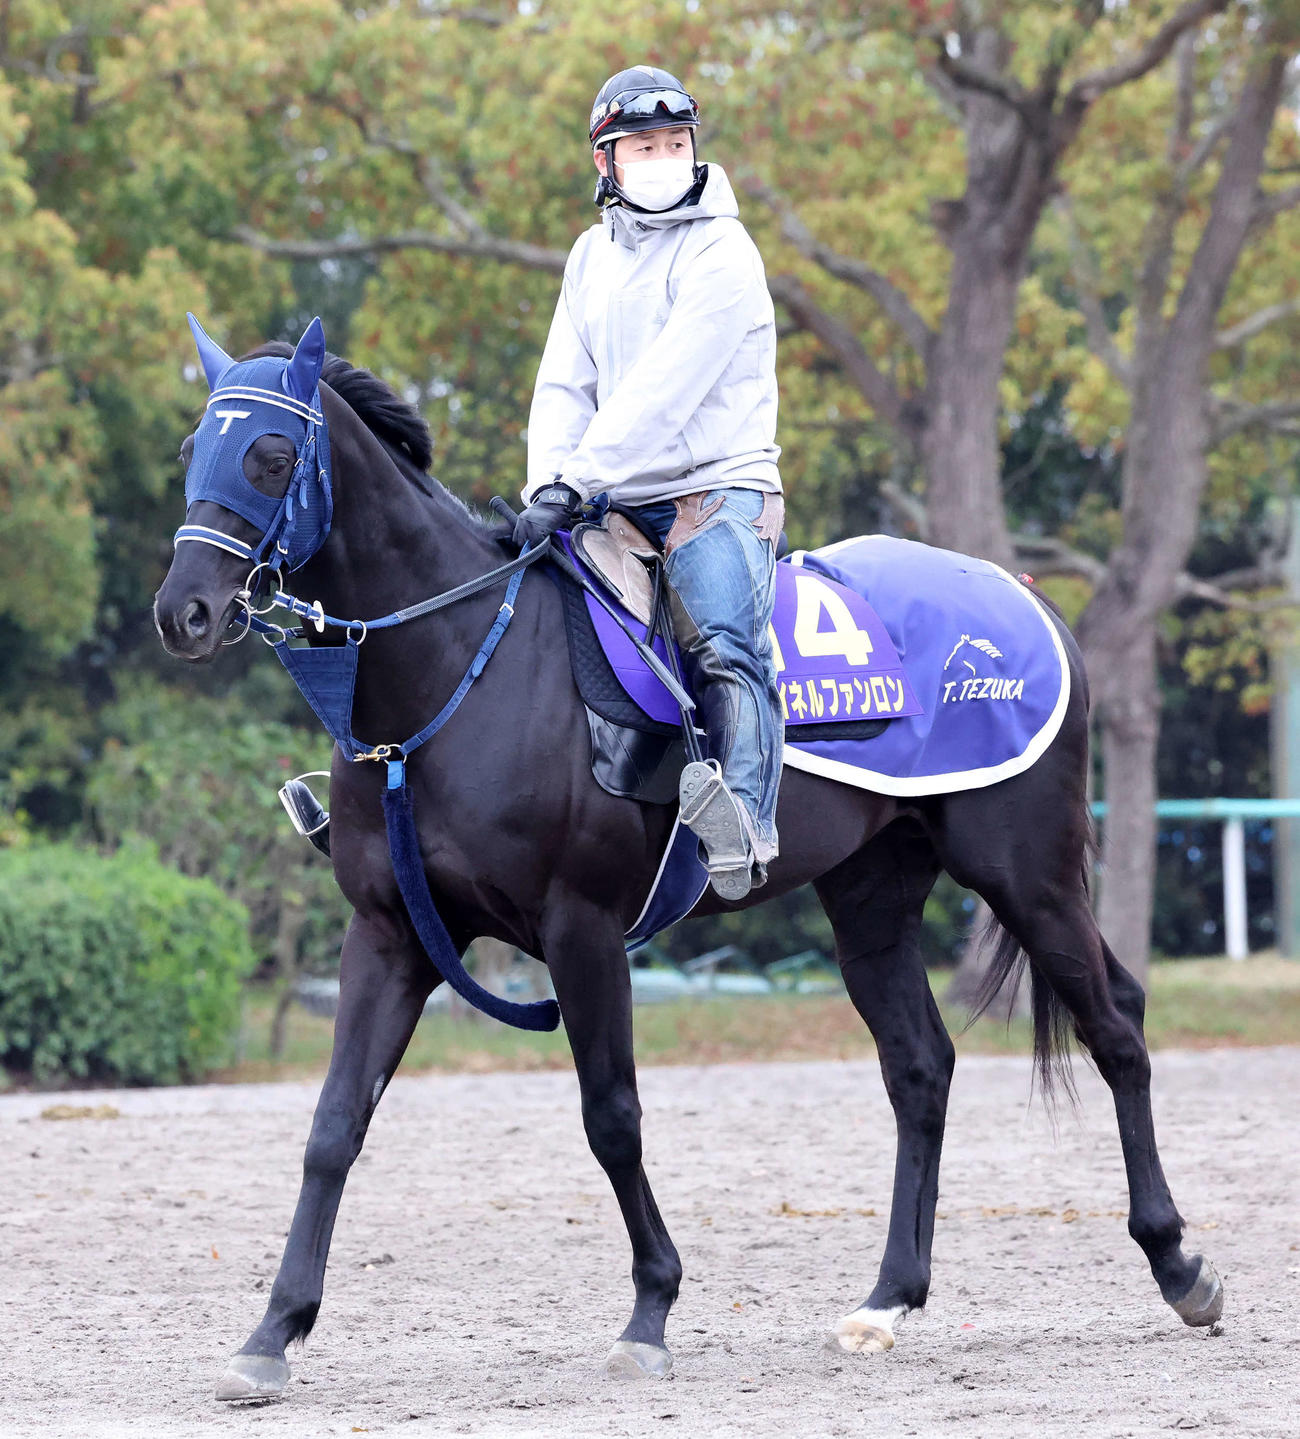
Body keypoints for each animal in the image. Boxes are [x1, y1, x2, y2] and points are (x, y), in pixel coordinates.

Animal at [153, 319, 1223, 1402]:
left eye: (271, 455)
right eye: (192, 451)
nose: (183, 611)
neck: (463, 668)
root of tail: (1027, 602)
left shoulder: (582, 930)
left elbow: (611, 1115)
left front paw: (651, 1307)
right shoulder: (392, 934)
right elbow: (333, 1125)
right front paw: (273, 1329)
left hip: (1027, 870)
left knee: (1116, 1022)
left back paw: (1177, 1262)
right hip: (871, 896)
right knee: (920, 1066)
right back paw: (888, 1297)